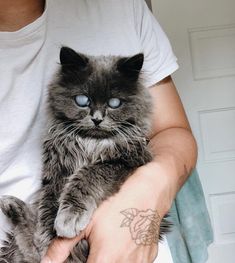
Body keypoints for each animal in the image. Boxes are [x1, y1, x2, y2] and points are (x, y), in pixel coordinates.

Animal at [0, 47, 169, 263]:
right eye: (82, 101)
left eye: (114, 103)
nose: (97, 119)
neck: (90, 143)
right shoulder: (56, 171)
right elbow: (48, 208)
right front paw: (49, 239)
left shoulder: (127, 160)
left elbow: (88, 175)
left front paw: (69, 217)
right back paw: (12, 205)